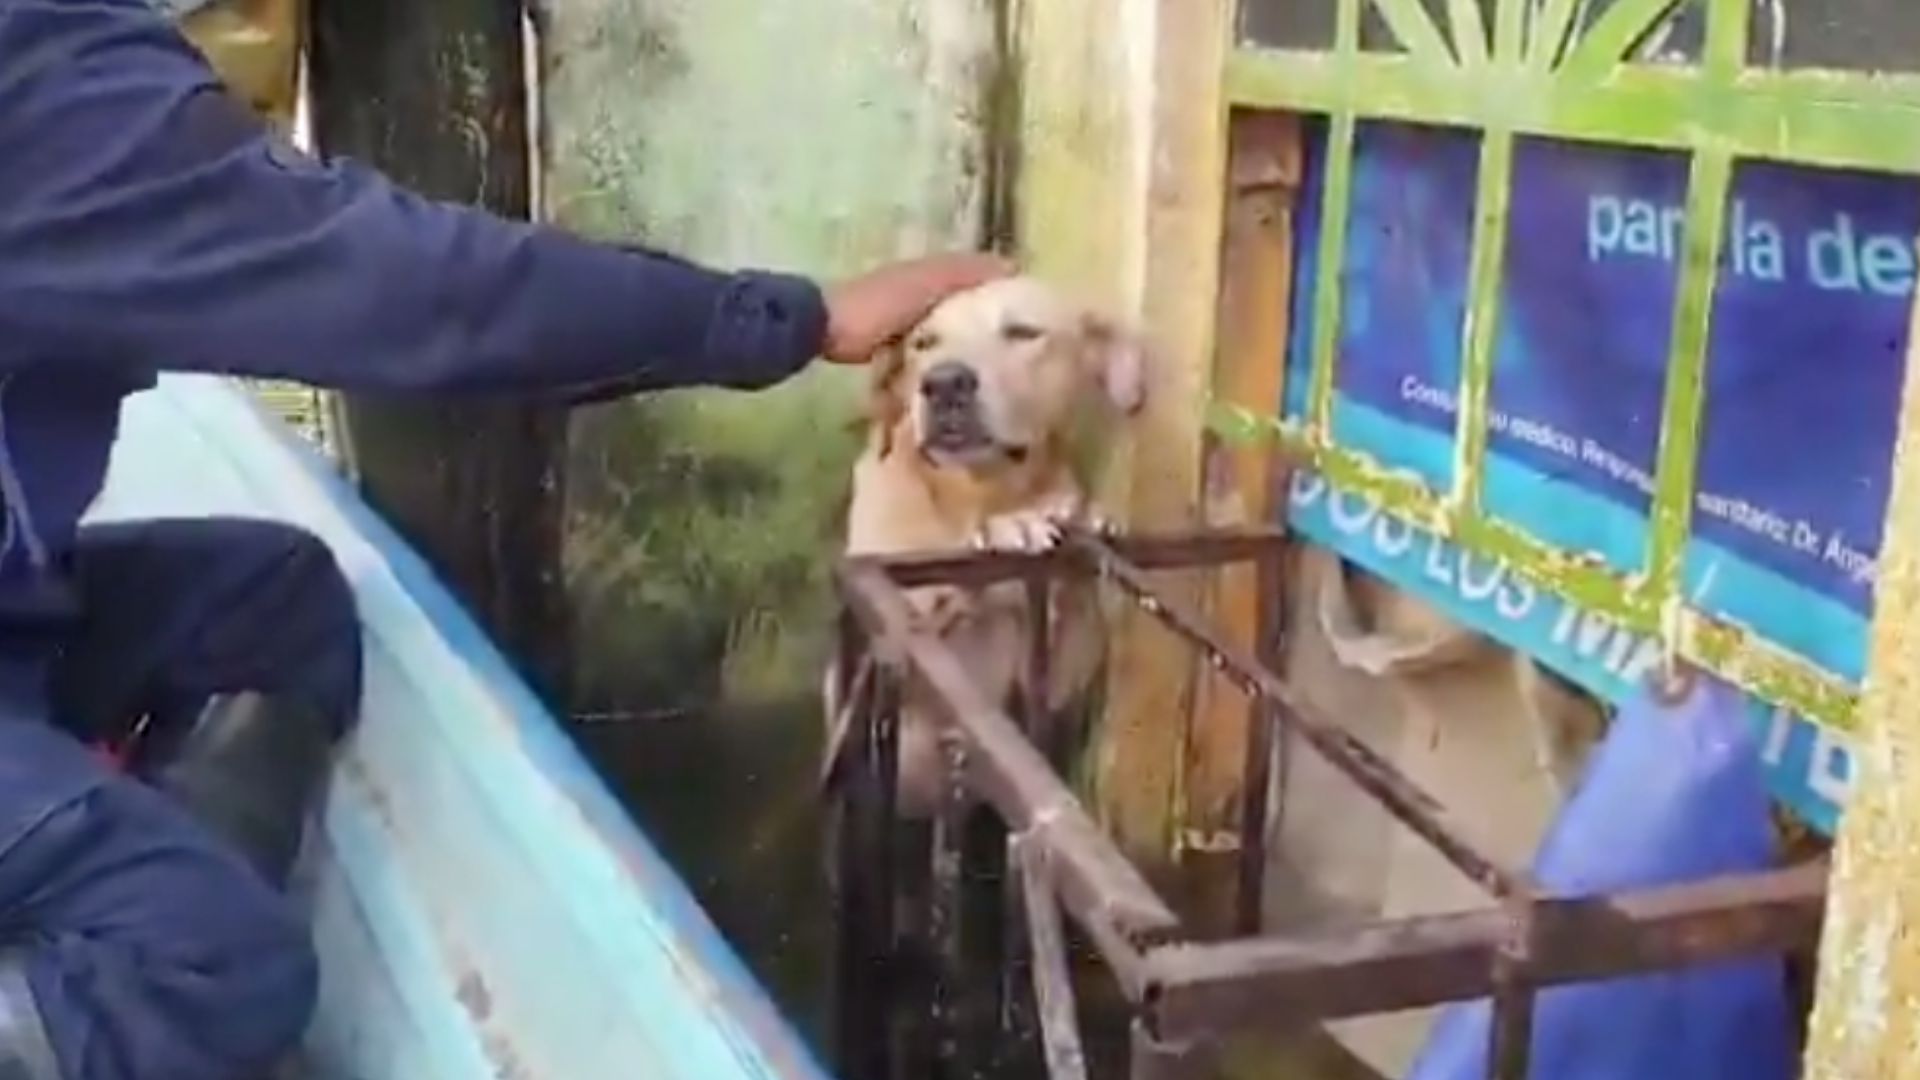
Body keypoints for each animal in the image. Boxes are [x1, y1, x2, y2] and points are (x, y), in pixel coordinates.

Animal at [817, 276, 1144, 814]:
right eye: (924, 343)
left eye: (1023, 332)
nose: (944, 383)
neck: (977, 494)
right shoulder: (889, 657)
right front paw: (1009, 529)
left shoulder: (1053, 679)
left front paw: (1074, 516)